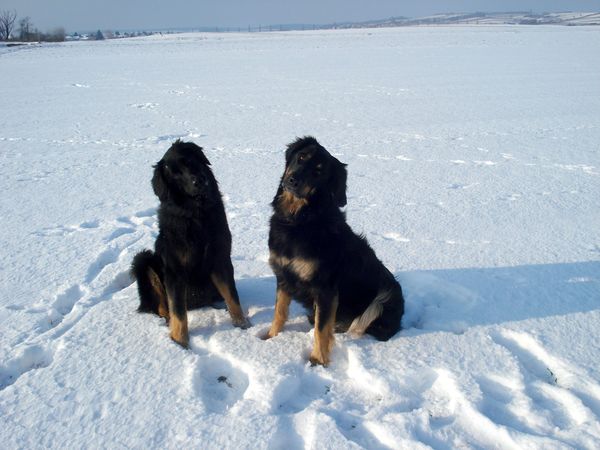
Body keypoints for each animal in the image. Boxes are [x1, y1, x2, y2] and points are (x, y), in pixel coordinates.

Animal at [132, 141, 250, 348]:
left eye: (190, 161)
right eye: (175, 174)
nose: (199, 181)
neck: (197, 214)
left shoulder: (221, 259)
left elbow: (232, 296)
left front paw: (242, 325)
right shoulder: (175, 271)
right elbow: (178, 311)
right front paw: (180, 343)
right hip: (143, 259)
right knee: (161, 306)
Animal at [264, 136, 406, 366]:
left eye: (319, 172)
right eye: (301, 157)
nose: (293, 180)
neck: (298, 220)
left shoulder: (326, 288)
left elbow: (321, 329)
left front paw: (317, 361)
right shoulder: (283, 276)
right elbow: (279, 312)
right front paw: (269, 338)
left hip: (385, 295)